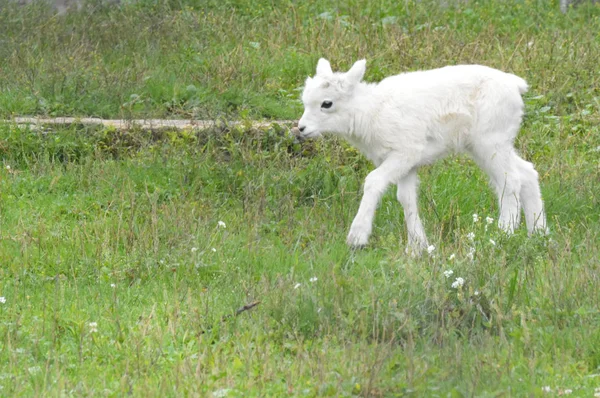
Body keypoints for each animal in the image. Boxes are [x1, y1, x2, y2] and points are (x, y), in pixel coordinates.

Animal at [296, 58, 548, 252]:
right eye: (305, 101)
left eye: (327, 103)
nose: (301, 129)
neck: (371, 112)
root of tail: (516, 85)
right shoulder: (406, 164)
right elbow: (406, 198)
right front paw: (418, 247)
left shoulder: (405, 153)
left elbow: (373, 181)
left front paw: (357, 238)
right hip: (488, 145)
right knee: (527, 172)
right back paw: (539, 233)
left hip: (490, 141)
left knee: (511, 180)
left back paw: (503, 233)